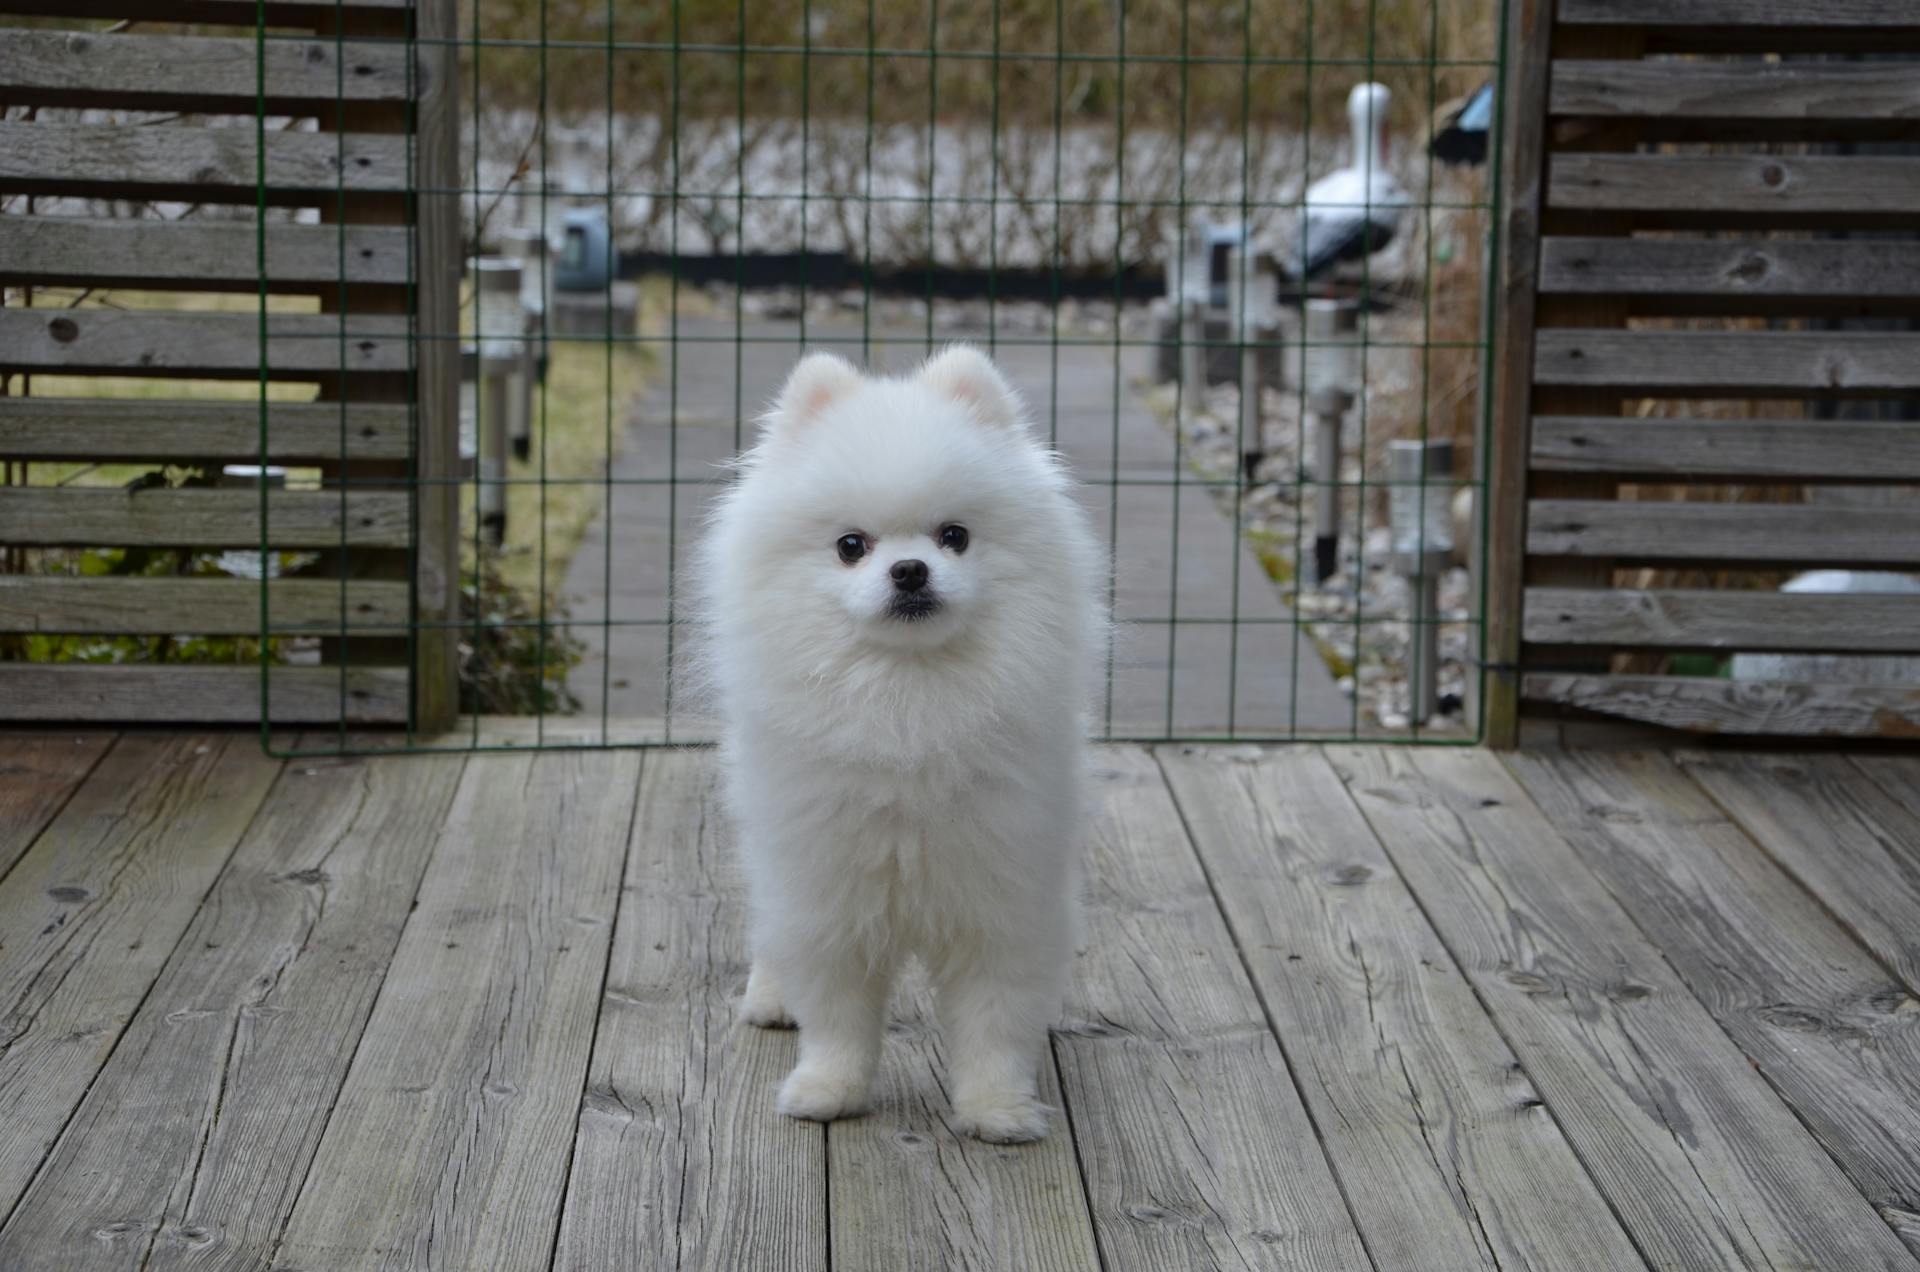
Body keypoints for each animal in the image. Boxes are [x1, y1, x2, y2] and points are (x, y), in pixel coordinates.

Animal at [698, 342, 1105, 1145]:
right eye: (851, 547)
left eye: (955, 536)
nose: (910, 569)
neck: (908, 703)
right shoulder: (830, 891)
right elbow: (838, 1014)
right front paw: (828, 1089)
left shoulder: (1000, 893)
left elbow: (992, 1019)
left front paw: (997, 1109)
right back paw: (771, 994)